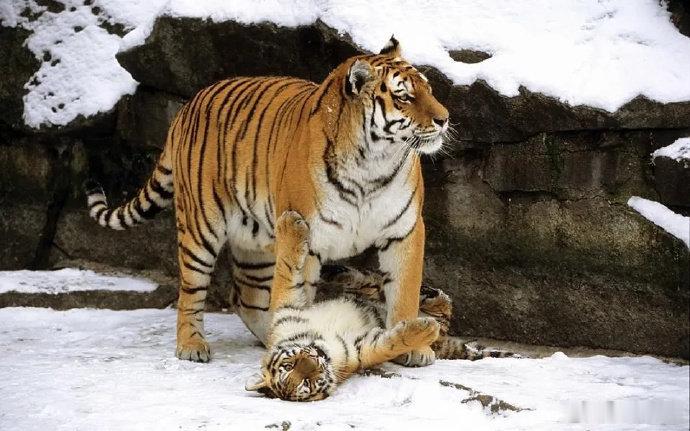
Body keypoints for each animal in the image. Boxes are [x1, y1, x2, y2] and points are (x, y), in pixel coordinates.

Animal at [86, 36, 450, 367]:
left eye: (429, 89)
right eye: (404, 96)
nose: (445, 118)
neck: (371, 164)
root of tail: (188, 106)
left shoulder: (404, 230)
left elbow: (405, 291)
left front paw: (415, 348)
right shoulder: (309, 238)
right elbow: (298, 293)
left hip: (258, 242)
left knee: (246, 297)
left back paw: (269, 335)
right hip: (201, 229)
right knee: (190, 291)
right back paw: (192, 345)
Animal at [246, 211, 516, 401]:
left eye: (290, 365)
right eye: (306, 383)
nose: (314, 360)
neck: (320, 339)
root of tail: (447, 344)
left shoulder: (286, 309)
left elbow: (284, 270)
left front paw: (288, 223)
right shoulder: (359, 350)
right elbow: (389, 345)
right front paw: (422, 330)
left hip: (372, 289)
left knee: (378, 284)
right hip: (436, 327)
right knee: (444, 314)